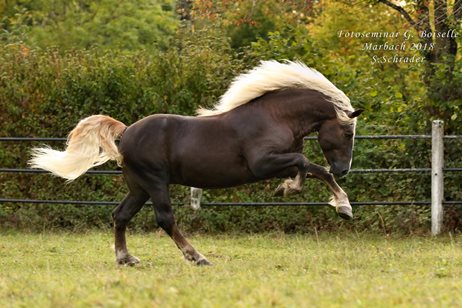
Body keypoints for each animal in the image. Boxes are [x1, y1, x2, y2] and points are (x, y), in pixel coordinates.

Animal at [28, 61, 362, 266]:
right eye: (347, 132)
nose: (344, 169)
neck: (274, 117)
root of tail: (125, 132)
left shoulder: (278, 161)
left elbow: (309, 168)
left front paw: (323, 200)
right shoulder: (262, 163)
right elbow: (306, 164)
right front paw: (318, 197)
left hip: (139, 187)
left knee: (120, 215)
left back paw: (126, 258)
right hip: (155, 183)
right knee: (165, 219)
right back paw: (197, 257)